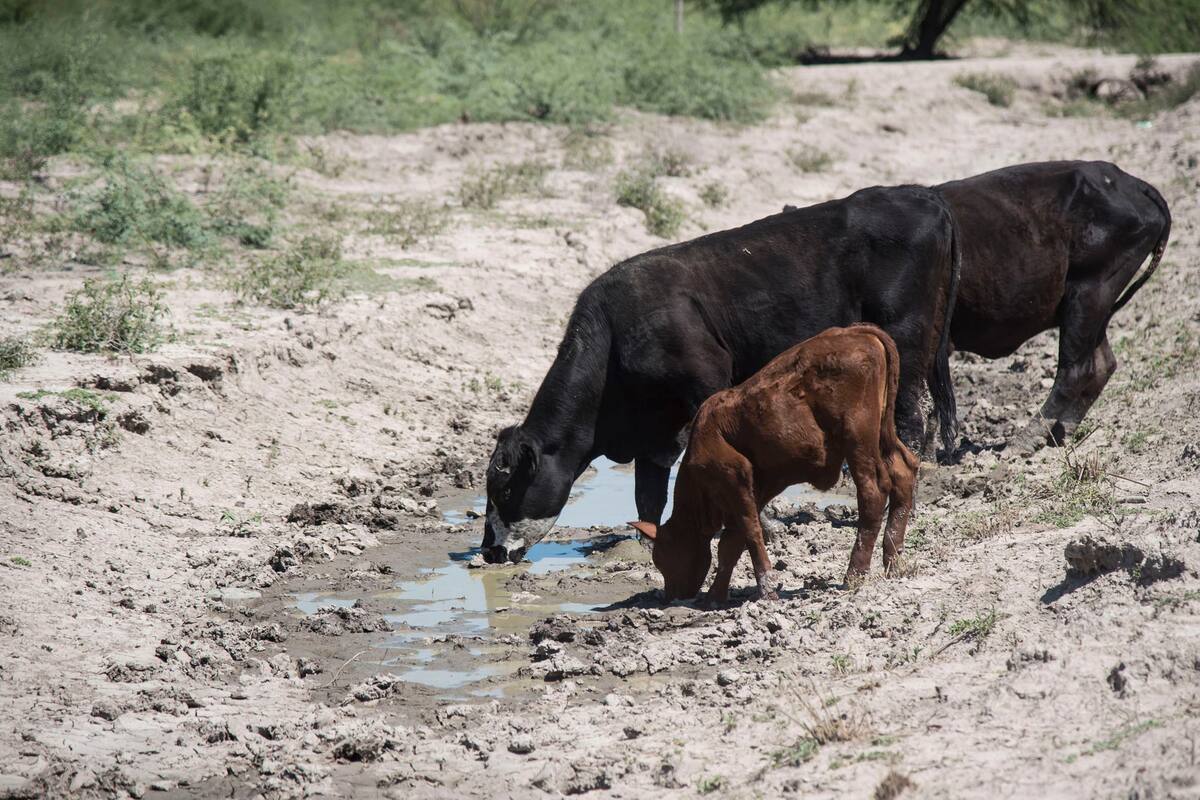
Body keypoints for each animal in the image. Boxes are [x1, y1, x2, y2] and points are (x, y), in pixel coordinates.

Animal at [481, 185, 960, 564]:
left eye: (503, 489)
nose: (489, 550)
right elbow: (648, 493)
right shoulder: (657, 432)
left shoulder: (708, 385)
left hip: (906, 343)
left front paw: (763, 526)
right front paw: (641, 542)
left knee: (909, 421)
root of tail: (923, 195)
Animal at [629, 324, 919, 601]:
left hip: (857, 437)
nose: (672, 596)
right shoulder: (756, 488)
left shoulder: (734, 478)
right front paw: (716, 595)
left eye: (662, 558)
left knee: (873, 490)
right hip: (882, 434)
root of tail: (855, 331)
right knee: (904, 471)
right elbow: (730, 544)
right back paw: (894, 562)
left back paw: (854, 574)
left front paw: (766, 591)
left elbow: (750, 534)